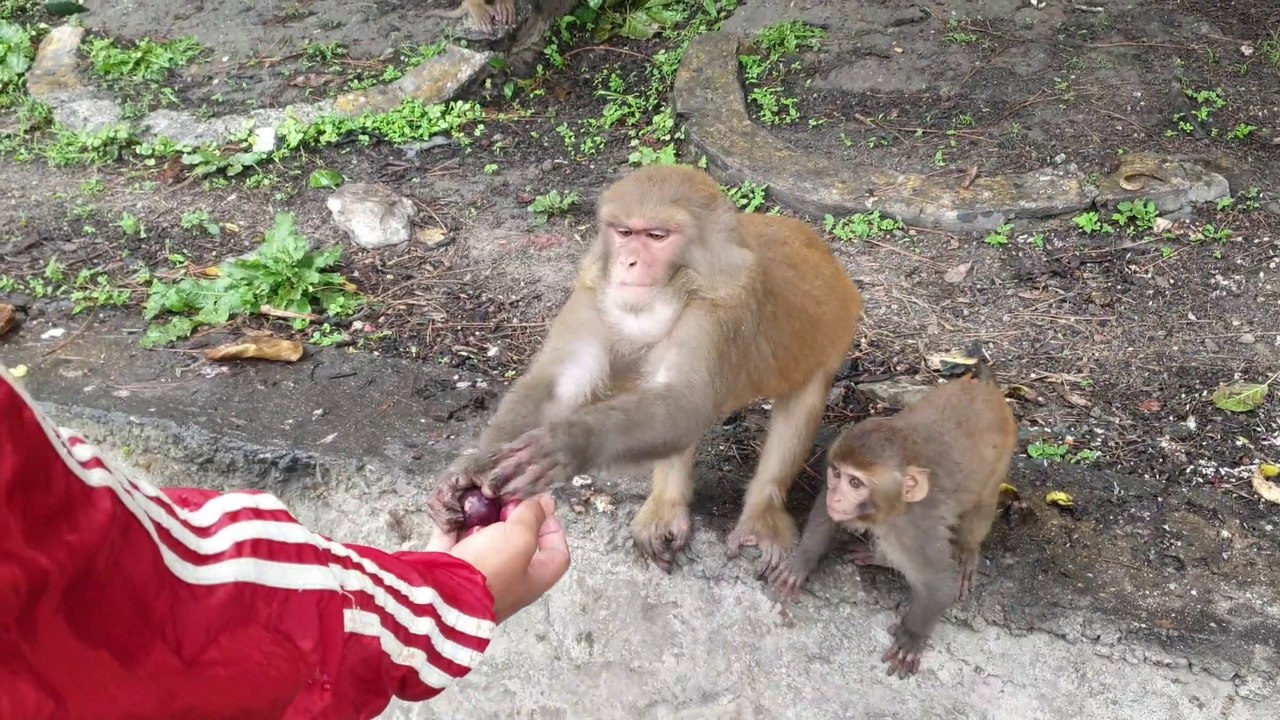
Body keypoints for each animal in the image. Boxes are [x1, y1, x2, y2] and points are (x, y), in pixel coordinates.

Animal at [427, 164, 864, 577]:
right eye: (624, 232)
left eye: (656, 236)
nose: (628, 262)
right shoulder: (593, 291)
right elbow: (558, 385)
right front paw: (471, 466)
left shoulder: (717, 313)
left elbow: (684, 404)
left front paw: (570, 442)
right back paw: (667, 504)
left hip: (837, 332)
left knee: (799, 403)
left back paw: (762, 509)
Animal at [767, 355, 1017, 678]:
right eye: (836, 473)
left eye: (855, 483)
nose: (837, 496)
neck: (895, 508)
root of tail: (985, 389)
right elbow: (825, 510)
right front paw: (801, 562)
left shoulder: (916, 532)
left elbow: (940, 584)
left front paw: (911, 637)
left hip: (1002, 457)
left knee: (981, 506)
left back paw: (967, 550)